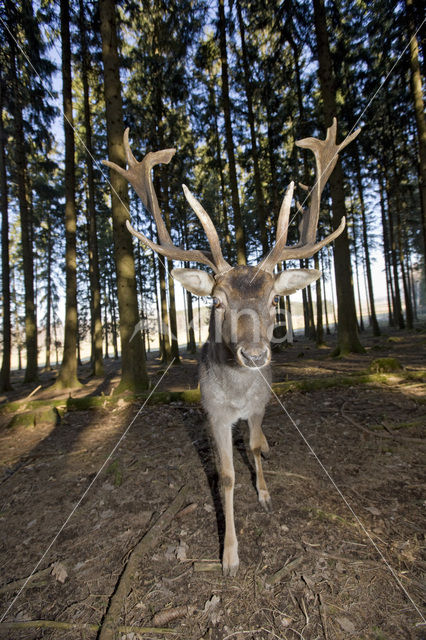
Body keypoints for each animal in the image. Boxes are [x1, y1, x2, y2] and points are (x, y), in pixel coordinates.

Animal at [104, 119, 360, 576]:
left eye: (274, 299)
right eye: (218, 301)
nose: (255, 356)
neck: (239, 395)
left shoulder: (259, 402)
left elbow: (254, 447)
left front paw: (265, 495)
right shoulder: (214, 413)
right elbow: (224, 476)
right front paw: (229, 556)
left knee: (257, 442)